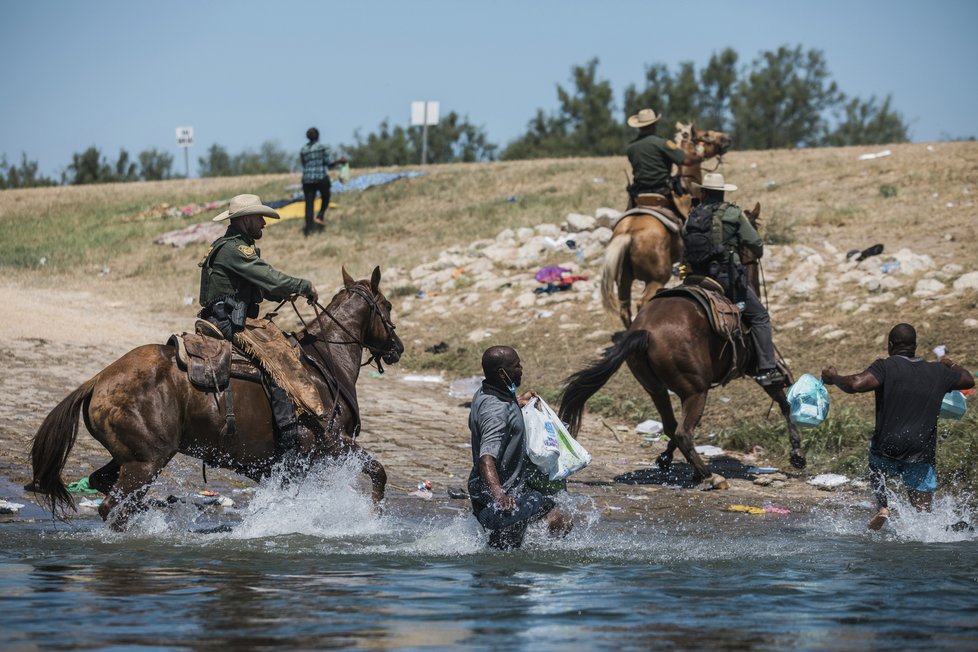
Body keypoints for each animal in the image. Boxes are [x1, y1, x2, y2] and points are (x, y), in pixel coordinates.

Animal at [30, 268, 402, 528]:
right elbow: (378, 471)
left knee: (103, 487)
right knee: (115, 508)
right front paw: (373, 520)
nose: (398, 348)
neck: (323, 362)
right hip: (145, 463)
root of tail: (97, 380)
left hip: (127, 457)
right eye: (387, 306)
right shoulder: (333, 443)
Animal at [560, 264, 804, 488]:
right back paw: (708, 476)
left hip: (657, 389)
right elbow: (784, 403)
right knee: (683, 432)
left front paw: (665, 458)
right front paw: (797, 454)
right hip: (696, 391)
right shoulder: (756, 369)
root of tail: (645, 332)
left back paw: (694, 469)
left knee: (671, 426)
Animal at [600, 120, 728, 328]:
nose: (726, 139)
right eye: (705, 134)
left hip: (623, 280)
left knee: (624, 309)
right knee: (641, 302)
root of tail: (628, 234)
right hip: (656, 279)